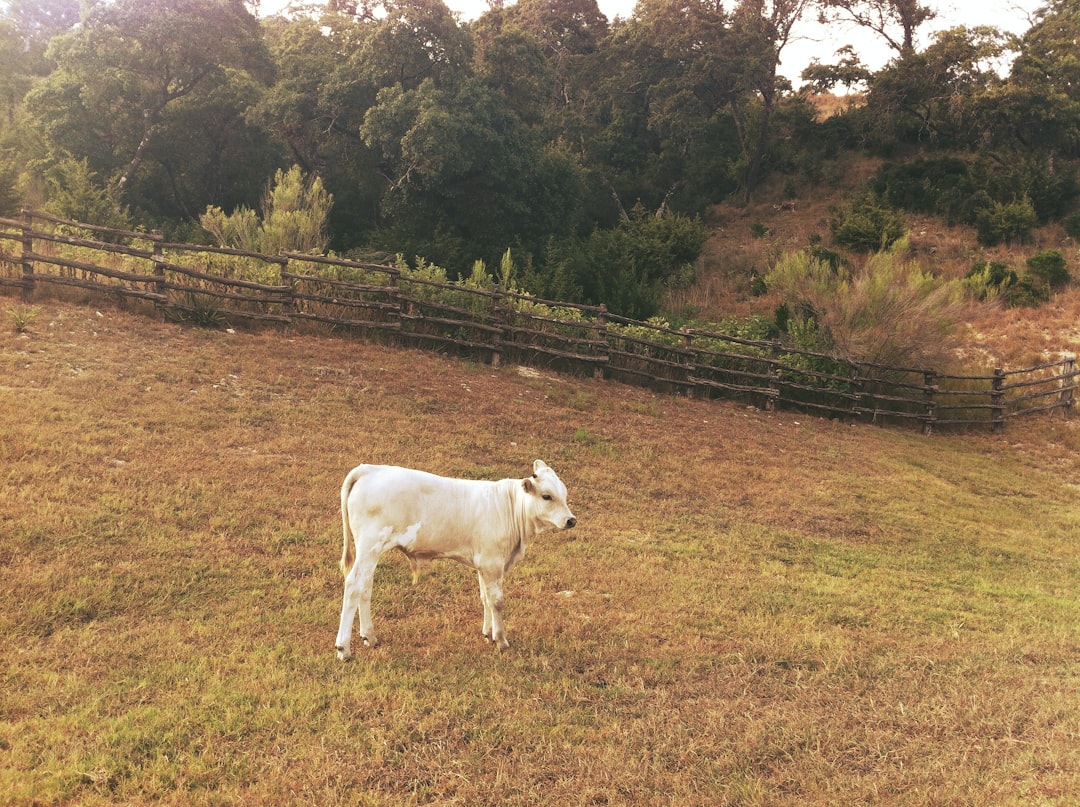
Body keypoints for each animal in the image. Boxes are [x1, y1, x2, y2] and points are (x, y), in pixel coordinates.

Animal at [334, 460, 574, 656]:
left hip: (370, 552)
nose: (571, 520)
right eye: (547, 496)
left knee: (365, 587)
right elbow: (496, 601)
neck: (509, 508)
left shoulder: (483, 564)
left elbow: (485, 597)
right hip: (369, 546)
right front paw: (501, 639)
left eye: (564, 494)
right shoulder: (492, 562)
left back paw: (369, 636)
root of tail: (370, 469)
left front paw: (487, 633)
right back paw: (343, 648)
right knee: (354, 585)